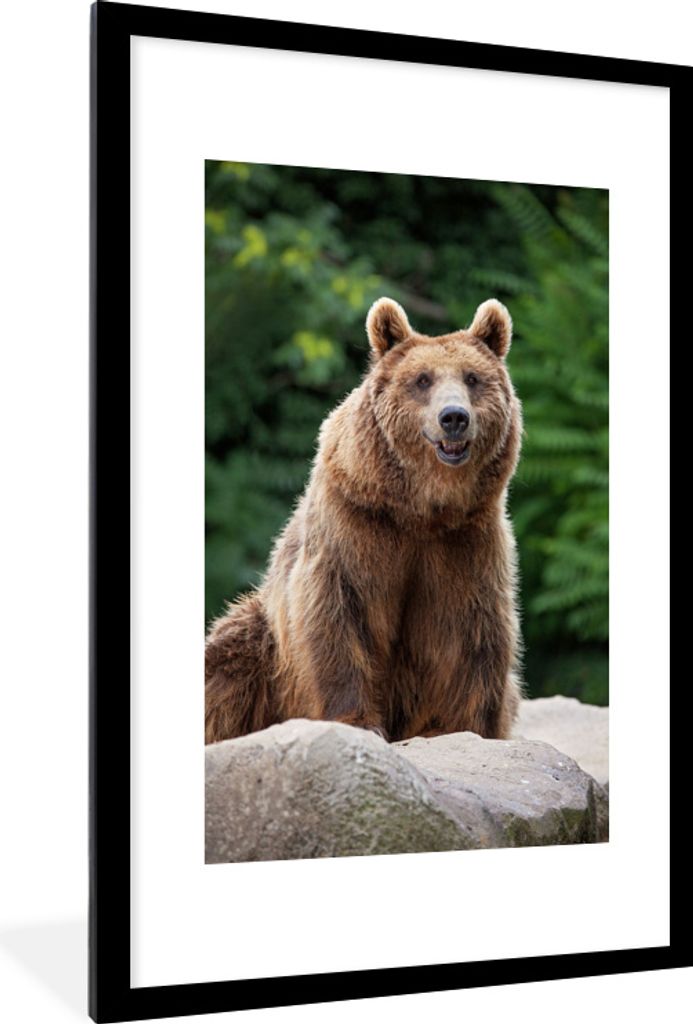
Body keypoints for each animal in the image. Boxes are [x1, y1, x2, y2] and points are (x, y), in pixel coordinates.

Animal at [205, 296, 523, 745]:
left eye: (473, 378)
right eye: (422, 379)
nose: (454, 417)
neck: (422, 508)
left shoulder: (466, 540)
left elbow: (471, 630)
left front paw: (462, 727)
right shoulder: (357, 520)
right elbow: (339, 610)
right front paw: (358, 720)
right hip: (264, 642)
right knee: (227, 662)